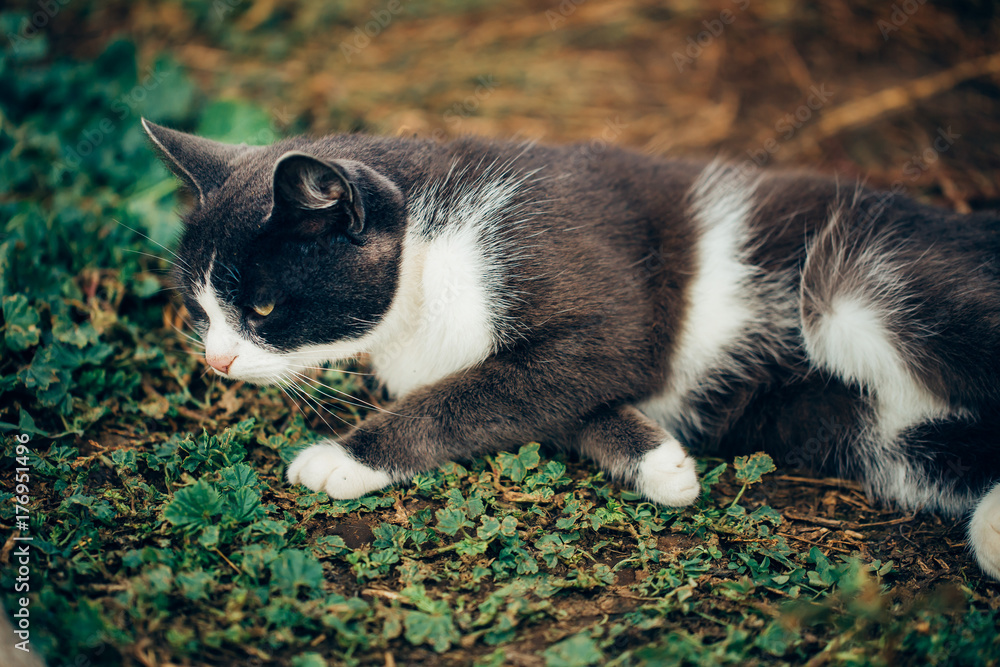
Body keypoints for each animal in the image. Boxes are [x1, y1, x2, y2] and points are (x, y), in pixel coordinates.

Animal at [141, 118, 1000, 580]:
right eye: (201, 311)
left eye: (262, 307)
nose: (218, 361)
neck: (429, 258)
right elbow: (542, 397)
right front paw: (661, 463)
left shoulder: (601, 303)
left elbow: (487, 388)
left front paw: (344, 457)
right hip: (875, 431)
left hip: (857, 282)